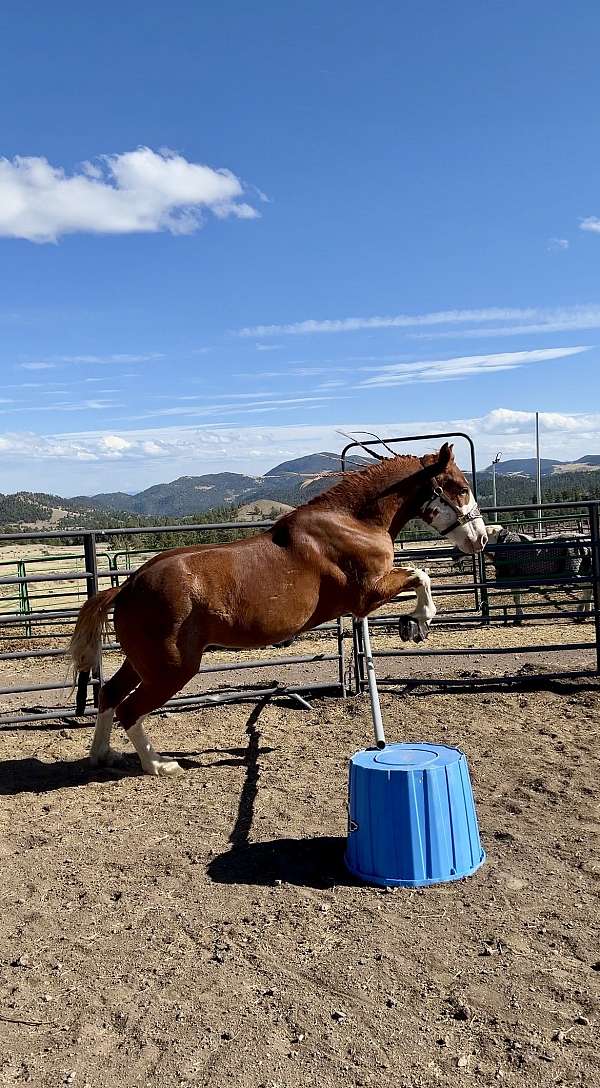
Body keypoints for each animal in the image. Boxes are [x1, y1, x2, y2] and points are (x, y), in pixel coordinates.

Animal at [69, 442, 487, 776]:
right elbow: (421, 575)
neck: (354, 523)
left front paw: (414, 623)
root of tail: (127, 587)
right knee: (129, 708)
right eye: (461, 488)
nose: (481, 538)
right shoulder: (367, 595)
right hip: (171, 669)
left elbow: (419, 575)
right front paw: (417, 622)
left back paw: (102, 755)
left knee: (110, 695)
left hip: (142, 662)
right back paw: (158, 764)